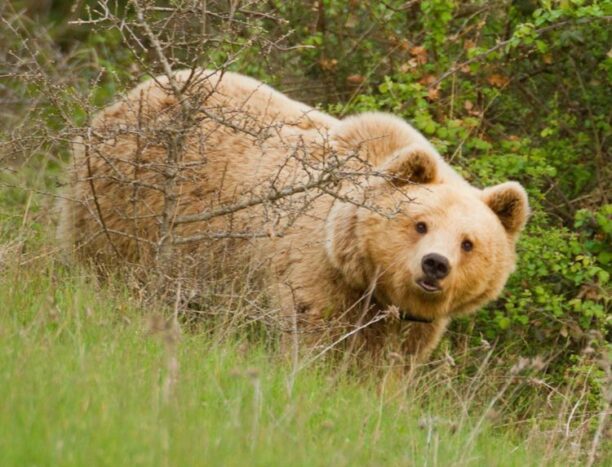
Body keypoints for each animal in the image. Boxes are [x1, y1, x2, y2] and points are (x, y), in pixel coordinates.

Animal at [57, 68, 528, 362]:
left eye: (469, 243)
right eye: (420, 224)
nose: (435, 265)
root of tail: (138, 91)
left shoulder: (412, 324)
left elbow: (388, 365)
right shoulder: (315, 270)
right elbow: (312, 331)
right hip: (125, 200)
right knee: (108, 263)